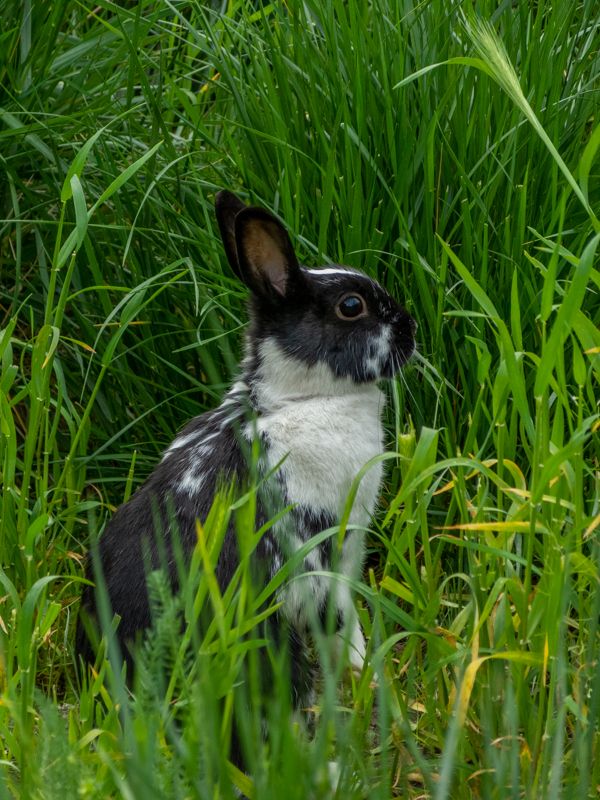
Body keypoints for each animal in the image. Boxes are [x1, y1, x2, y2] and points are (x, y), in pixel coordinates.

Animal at [76, 188, 416, 761]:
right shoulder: (331, 551)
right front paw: (362, 671)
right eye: (353, 306)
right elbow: (343, 622)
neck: (300, 399)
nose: (412, 330)